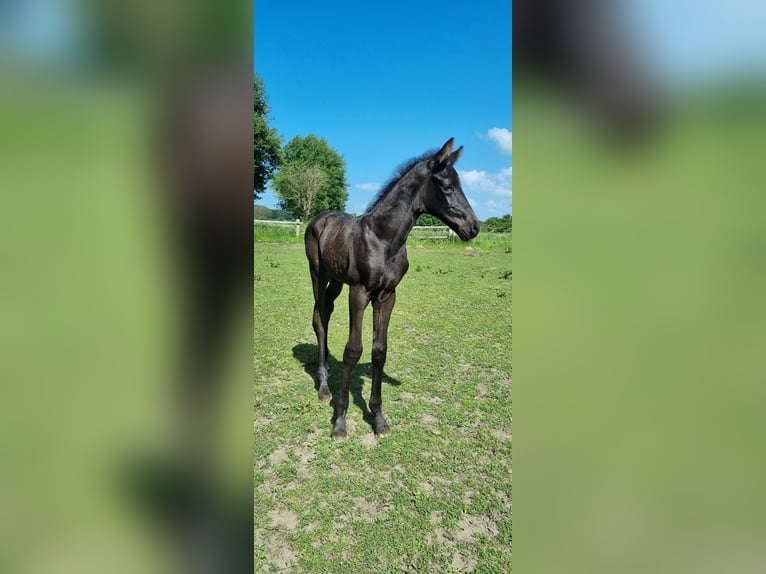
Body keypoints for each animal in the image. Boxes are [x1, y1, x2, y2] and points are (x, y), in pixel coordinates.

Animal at [304, 138, 480, 439]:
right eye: (447, 186)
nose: (474, 227)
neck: (383, 239)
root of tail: (319, 218)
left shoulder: (387, 296)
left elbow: (379, 351)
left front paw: (378, 418)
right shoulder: (359, 292)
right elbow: (353, 350)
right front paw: (340, 421)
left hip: (336, 280)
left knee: (324, 312)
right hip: (318, 274)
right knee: (319, 320)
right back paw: (324, 389)